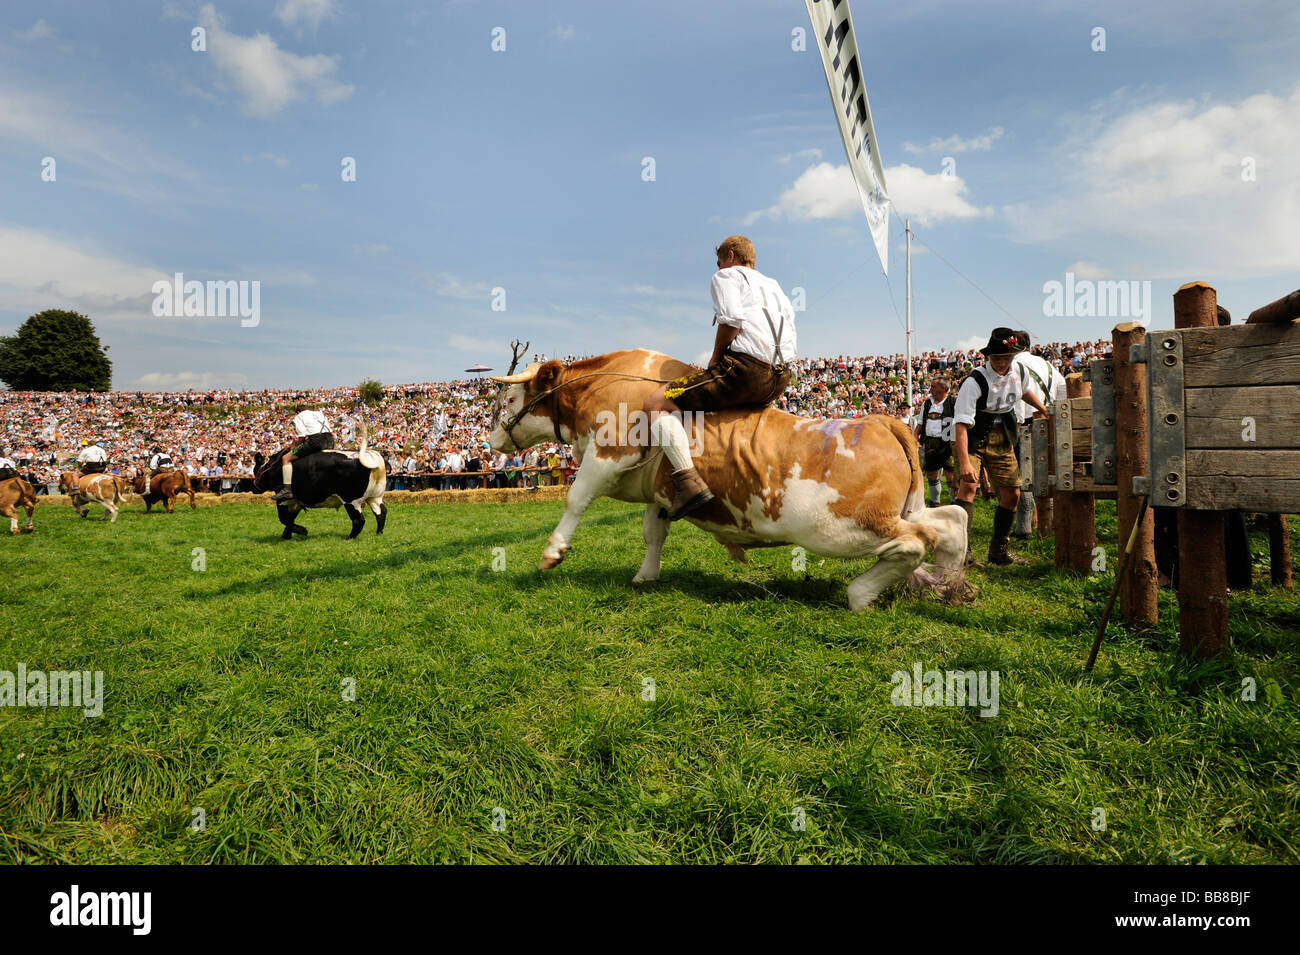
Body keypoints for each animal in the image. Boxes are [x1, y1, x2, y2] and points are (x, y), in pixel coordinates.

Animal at [491, 350, 972, 613]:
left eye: (510, 398)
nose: (492, 439)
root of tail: (879, 421)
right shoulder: (660, 491)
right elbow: (653, 532)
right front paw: (646, 575)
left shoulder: (608, 454)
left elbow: (575, 499)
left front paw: (553, 552)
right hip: (900, 509)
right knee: (952, 520)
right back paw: (950, 586)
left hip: (841, 526)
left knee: (914, 541)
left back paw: (861, 594)